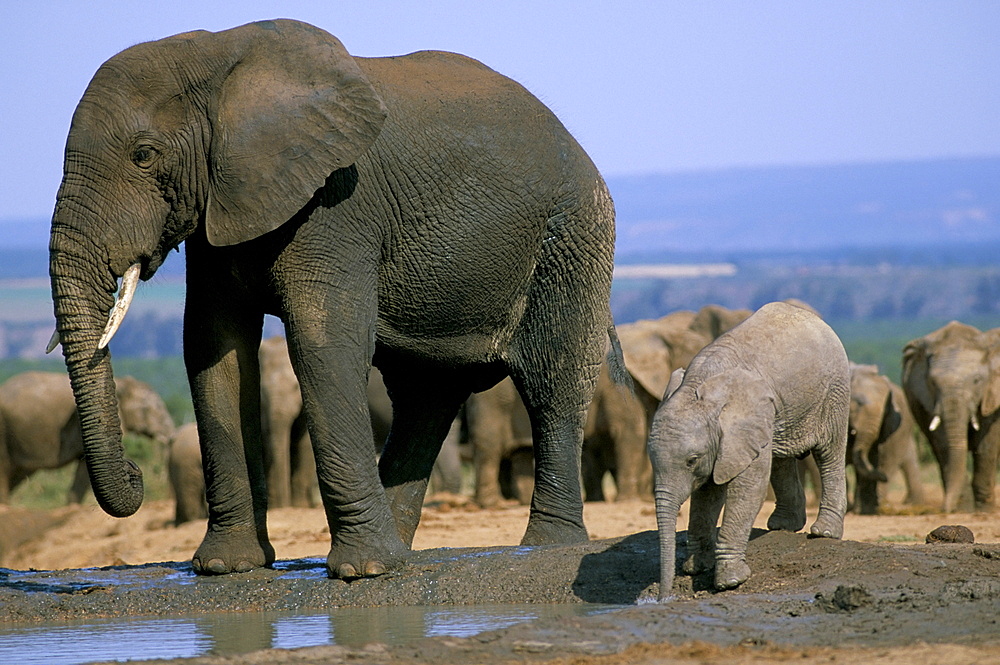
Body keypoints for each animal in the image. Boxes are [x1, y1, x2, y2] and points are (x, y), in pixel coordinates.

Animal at [50, 19, 620, 580]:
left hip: (573, 237)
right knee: (425, 397)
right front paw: (225, 567)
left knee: (552, 385)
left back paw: (544, 546)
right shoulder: (222, 205)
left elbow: (322, 342)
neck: (219, 57)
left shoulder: (335, 204)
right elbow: (214, 347)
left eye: (144, 155)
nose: (135, 472)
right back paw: (402, 552)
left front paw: (361, 572)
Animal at [644, 300, 848, 596]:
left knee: (829, 453)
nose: (663, 597)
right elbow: (708, 492)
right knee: (781, 457)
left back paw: (823, 533)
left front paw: (731, 581)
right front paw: (696, 568)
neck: (698, 386)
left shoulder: (742, 426)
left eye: (692, 460)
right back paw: (782, 526)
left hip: (834, 390)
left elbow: (747, 486)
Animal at [900, 320, 1000, 510]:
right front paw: (962, 508)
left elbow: (986, 445)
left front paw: (984, 510)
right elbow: (943, 444)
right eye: (932, 383)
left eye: (977, 380)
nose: (943, 509)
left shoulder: (992, 394)